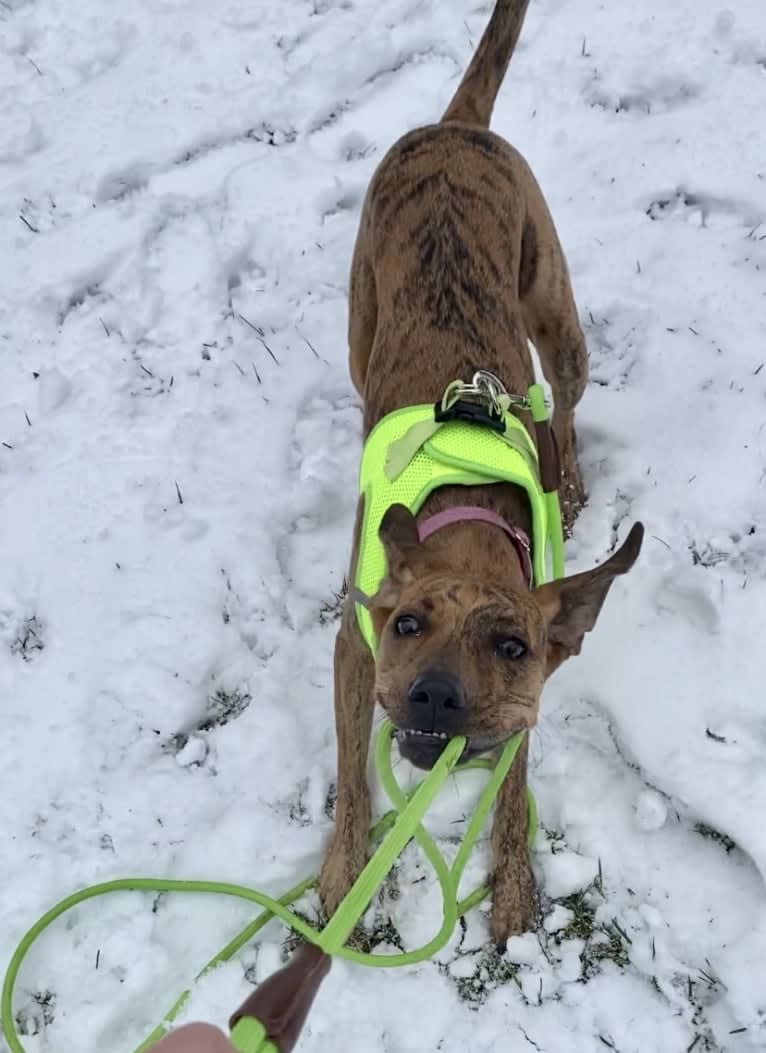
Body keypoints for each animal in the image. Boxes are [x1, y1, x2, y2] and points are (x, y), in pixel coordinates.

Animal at [320, 0, 644, 939]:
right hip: (362, 317)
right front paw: (345, 872)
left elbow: (512, 786)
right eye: (405, 623)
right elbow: (350, 772)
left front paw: (511, 884)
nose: (434, 696)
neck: (463, 520)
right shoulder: (352, 651)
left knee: (562, 401)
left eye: (510, 645)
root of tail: (456, 125)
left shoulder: (529, 687)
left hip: (559, 317)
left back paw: (566, 482)